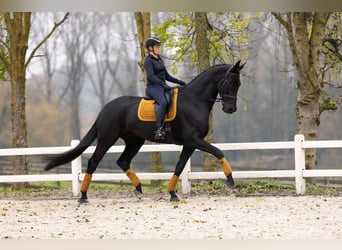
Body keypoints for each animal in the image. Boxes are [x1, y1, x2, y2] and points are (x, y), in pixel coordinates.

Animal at [45, 61, 244, 203]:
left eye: (239, 84)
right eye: (229, 82)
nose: (231, 109)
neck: (195, 101)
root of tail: (106, 108)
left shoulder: (189, 144)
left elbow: (179, 167)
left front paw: (172, 194)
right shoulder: (194, 140)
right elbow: (218, 151)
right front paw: (230, 180)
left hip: (135, 141)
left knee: (123, 161)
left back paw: (139, 189)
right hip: (107, 138)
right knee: (94, 162)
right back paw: (84, 197)